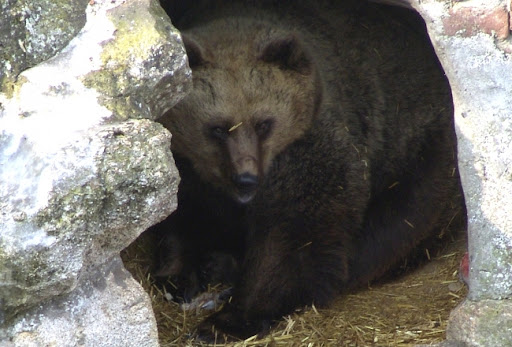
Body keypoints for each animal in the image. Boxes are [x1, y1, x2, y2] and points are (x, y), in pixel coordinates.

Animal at [154, 0, 466, 342]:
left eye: (264, 123)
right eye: (218, 128)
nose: (246, 180)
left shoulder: (310, 150)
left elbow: (294, 236)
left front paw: (228, 320)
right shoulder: (187, 165)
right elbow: (183, 215)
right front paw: (180, 274)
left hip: (419, 150)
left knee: (396, 227)